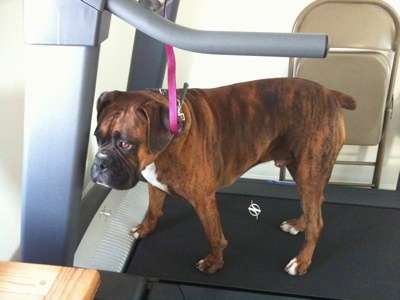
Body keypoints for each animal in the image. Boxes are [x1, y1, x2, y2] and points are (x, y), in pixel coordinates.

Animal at [91, 78, 356, 276]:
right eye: (97, 137)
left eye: (125, 144)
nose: (100, 163)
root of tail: (330, 94)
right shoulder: (154, 184)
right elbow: (153, 209)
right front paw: (145, 228)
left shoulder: (203, 199)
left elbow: (213, 235)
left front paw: (214, 262)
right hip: (305, 173)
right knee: (315, 205)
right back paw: (299, 224)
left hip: (309, 170)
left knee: (317, 222)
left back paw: (301, 261)